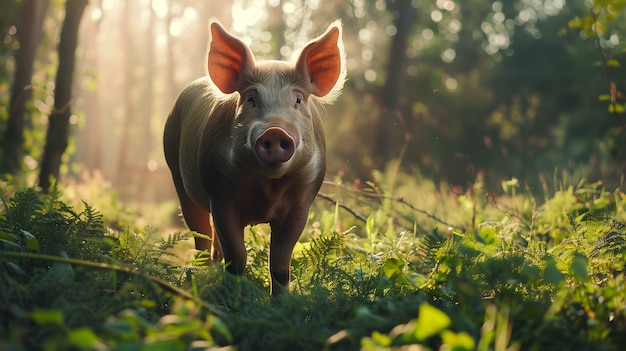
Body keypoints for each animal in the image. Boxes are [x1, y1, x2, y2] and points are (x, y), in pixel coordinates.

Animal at [163, 20, 344, 296]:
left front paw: (282, 304)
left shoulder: (302, 203)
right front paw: (233, 300)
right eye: (250, 98)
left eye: (298, 99)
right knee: (200, 234)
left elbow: (279, 264)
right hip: (176, 172)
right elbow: (237, 259)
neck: (268, 186)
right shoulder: (220, 193)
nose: (275, 130)